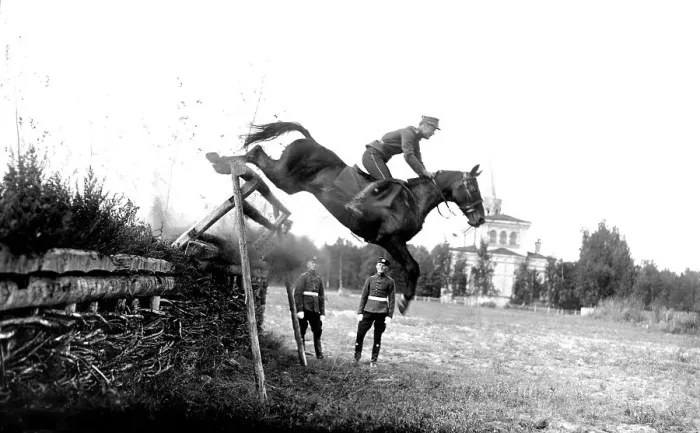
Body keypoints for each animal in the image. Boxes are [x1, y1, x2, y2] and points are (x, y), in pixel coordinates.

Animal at [206, 121, 486, 314]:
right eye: (472, 188)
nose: (481, 220)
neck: (414, 201)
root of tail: (311, 141)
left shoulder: (390, 242)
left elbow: (408, 267)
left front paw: (404, 301)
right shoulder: (391, 239)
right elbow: (413, 267)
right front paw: (405, 302)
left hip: (290, 183)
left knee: (257, 153)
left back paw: (219, 161)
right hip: (283, 176)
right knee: (256, 152)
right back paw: (220, 162)